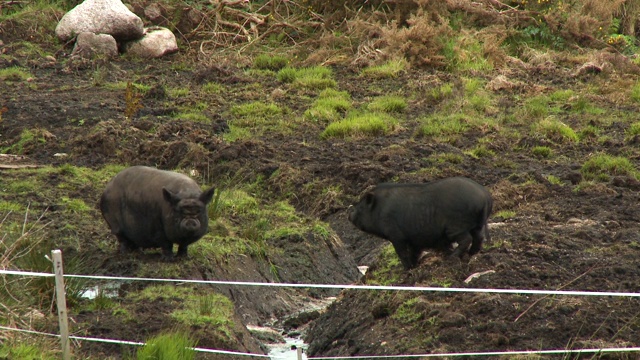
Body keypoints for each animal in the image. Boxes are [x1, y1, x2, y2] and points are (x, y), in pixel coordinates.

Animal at [348, 177, 492, 270]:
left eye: (360, 208)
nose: (349, 215)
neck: (380, 209)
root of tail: (484, 195)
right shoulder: (415, 239)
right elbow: (415, 252)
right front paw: (414, 266)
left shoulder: (396, 236)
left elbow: (402, 253)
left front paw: (407, 270)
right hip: (476, 224)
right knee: (479, 237)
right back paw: (471, 254)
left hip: (457, 225)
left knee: (467, 239)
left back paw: (452, 258)